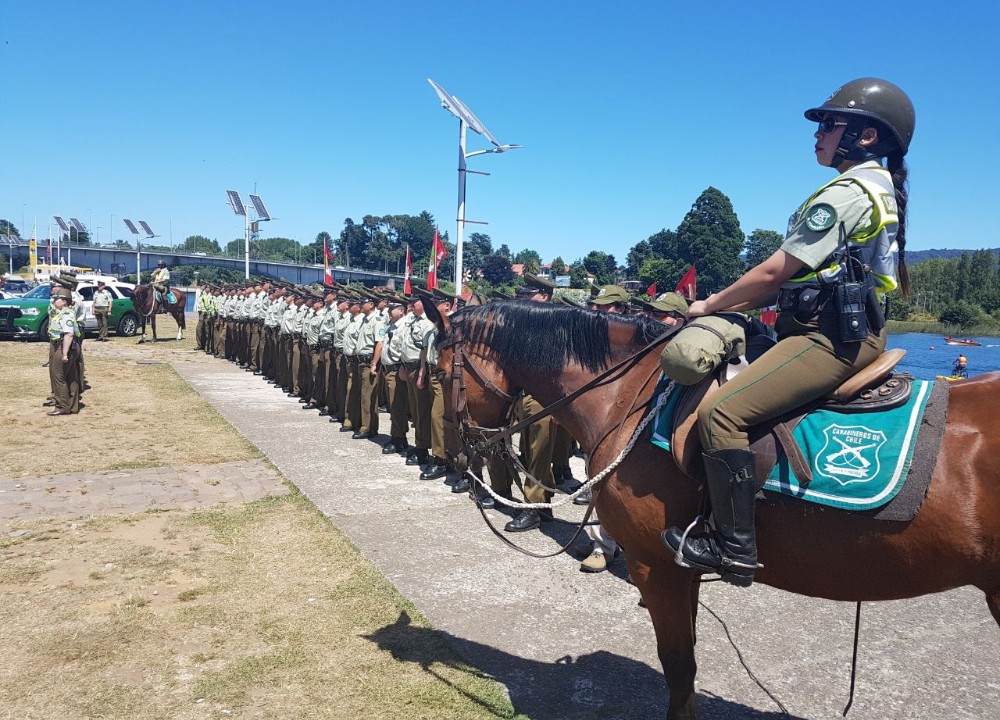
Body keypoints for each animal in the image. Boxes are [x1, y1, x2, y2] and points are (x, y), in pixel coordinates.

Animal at [426, 300, 1000, 720]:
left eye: (441, 367)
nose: (459, 448)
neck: (627, 397)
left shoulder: (656, 566)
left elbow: (679, 666)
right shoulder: (681, 569)